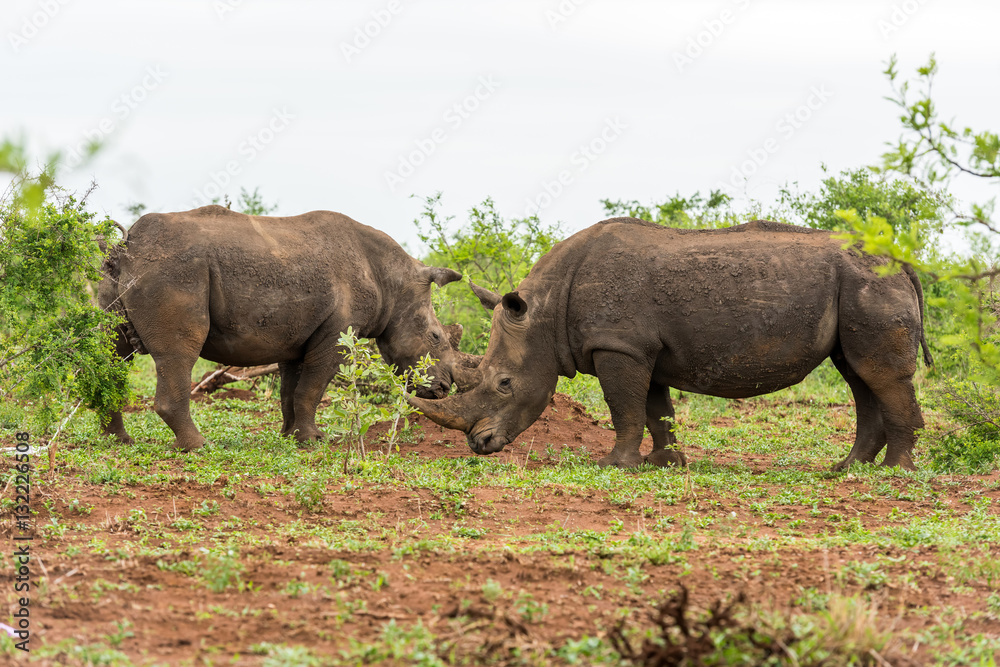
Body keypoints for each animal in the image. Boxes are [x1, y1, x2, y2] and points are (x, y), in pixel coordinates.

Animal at [99, 205, 472, 451]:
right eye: (435, 337)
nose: (442, 388)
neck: (395, 281)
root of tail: (128, 248)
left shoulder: (296, 335)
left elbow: (291, 390)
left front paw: (292, 437)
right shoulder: (338, 333)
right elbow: (313, 388)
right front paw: (315, 441)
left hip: (117, 276)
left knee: (113, 354)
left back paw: (119, 440)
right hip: (174, 271)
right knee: (178, 354)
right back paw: (198, 446)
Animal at [410, 218, 933, 471]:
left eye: (503, 383)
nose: (479, 445)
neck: (545, 310)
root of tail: (902, 261)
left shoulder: (618, 345)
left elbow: (624, 407)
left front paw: (614, 465)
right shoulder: (641, 348)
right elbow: (655, 408)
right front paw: (665, 463)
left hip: (869, 283)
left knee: (878, 375)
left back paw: (895, 472)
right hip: (861, 284)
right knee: (858, 374)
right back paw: (847, 469)